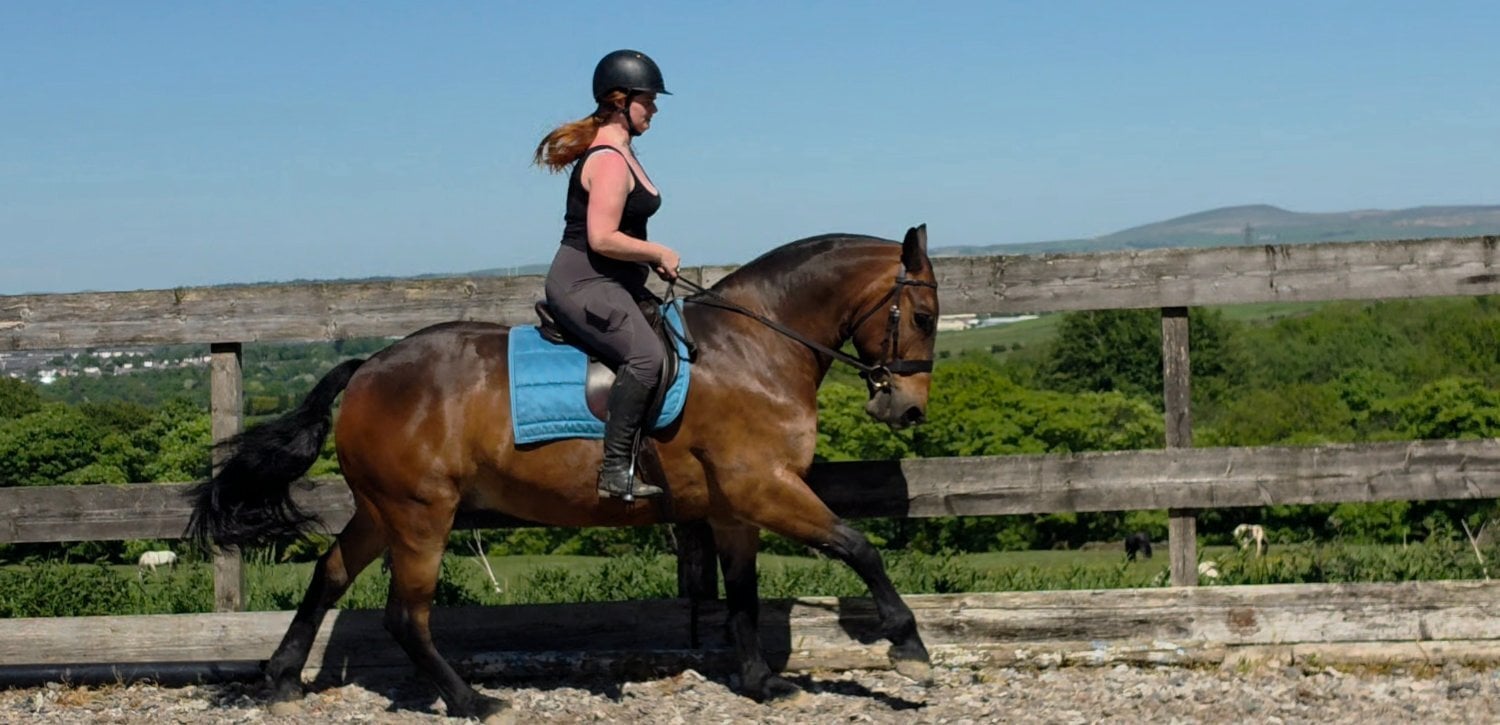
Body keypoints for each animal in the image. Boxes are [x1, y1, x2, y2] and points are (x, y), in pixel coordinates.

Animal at [186, 225, 940, 722]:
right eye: (925, 314)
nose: (906, 408)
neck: (754, 348)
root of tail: (368, 366)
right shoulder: (766, 486)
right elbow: (858, 546)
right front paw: (909, 646)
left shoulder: (734, 508)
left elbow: (744, 596)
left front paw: (760, 681)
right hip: (421, 513)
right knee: (406, 613)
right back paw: (471, 699)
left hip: (382, 509)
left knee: (330, 575)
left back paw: (283, 678)